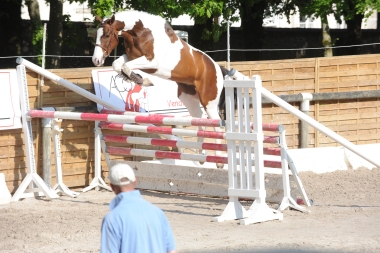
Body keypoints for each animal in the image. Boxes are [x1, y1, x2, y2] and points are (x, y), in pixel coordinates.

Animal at [93, 10, 245, 168]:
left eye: (106, 35)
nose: (96, 60)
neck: (140, 32)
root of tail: (218, 68)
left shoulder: (151, 62)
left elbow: (126, 66)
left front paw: (142, 80)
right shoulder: (131, 57)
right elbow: (118, 64)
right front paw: (135, 79)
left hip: (209, 101)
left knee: (216, 123)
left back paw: (219, 159)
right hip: (189, 99)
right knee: (200, 120)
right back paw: (201, 154)